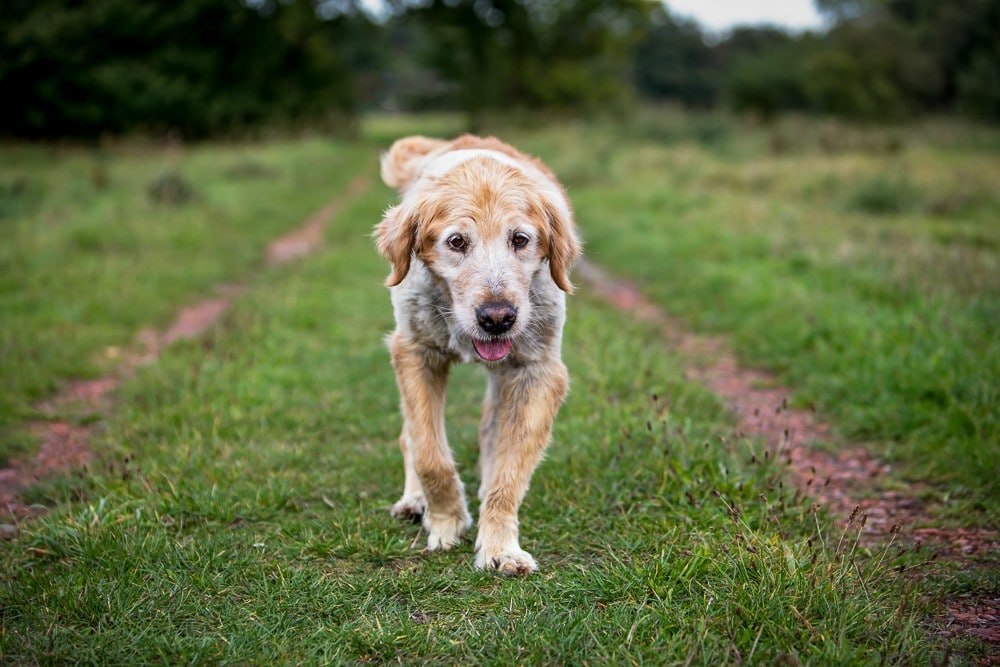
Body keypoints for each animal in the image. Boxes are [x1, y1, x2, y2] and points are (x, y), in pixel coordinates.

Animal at [374, 134, 580, 576]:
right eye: (457, 242)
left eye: (520, 239)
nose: (497, 318)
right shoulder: (415, 353)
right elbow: (430, 454)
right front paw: (447, 519)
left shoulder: (538, 371)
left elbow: (510, 472)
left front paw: (500, 545)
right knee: (410, 436)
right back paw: (414, 499)